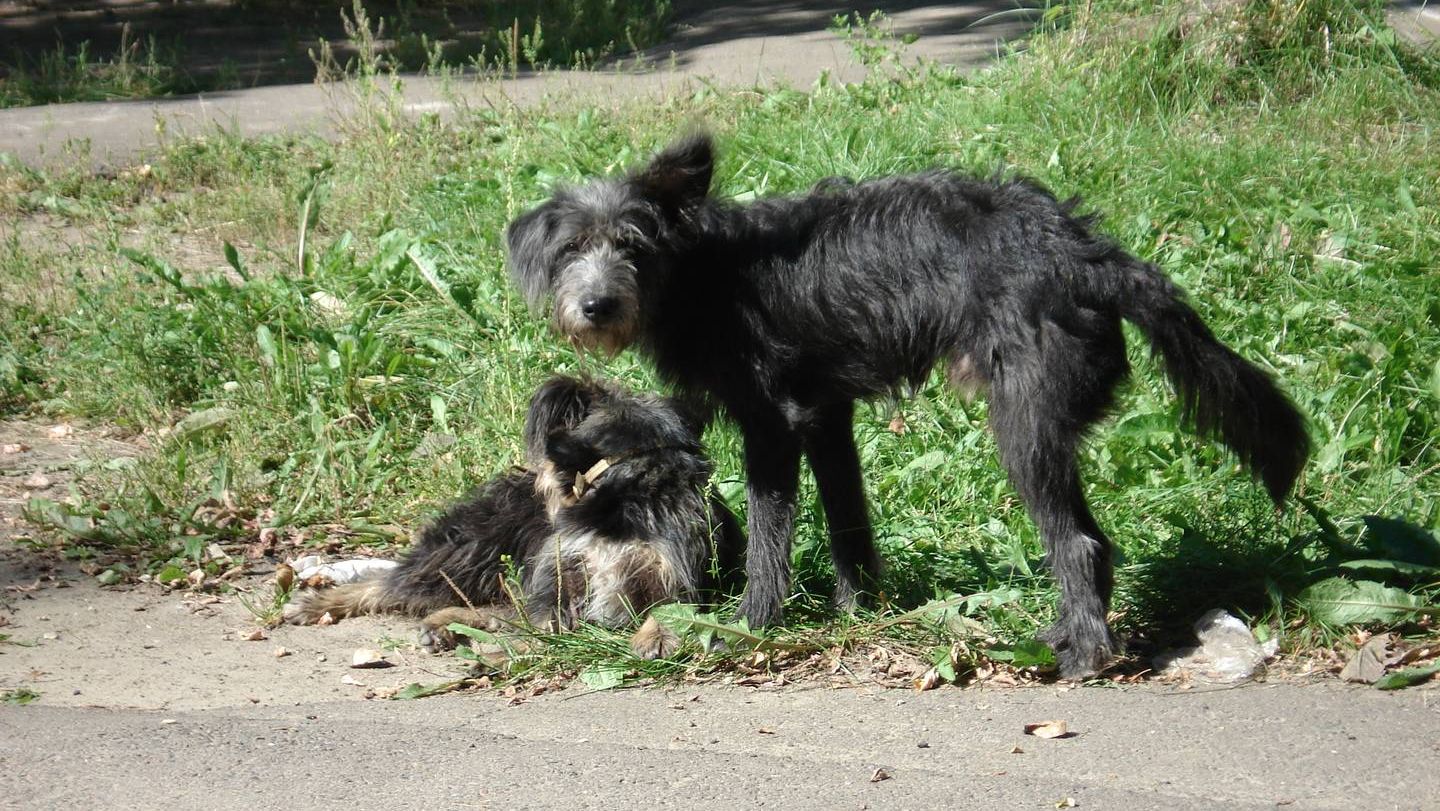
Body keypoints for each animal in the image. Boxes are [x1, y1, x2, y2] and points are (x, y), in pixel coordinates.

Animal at [288, 374, 748, 659]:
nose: (538, 478)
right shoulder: (559, 583)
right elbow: (540, 624)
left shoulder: (678, 575)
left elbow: (669, 609)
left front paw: (657, 636)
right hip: (475, 549)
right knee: (392, 584)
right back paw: (320, 603)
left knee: (497, 608)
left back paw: (445, 624)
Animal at [501, 133, 1313, 679]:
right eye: (571, 249)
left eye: (632, 245)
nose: (597, 306)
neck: (702, 272)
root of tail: (1087, 254)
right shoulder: (824, 416)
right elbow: (846, 520)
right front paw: (858, 612)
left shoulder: (771, 425)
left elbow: (768, 536)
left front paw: (751, 623)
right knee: (1087, 541)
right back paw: (1061, 635)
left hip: (1024, 425)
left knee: (1079, 542)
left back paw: (1085, 654)